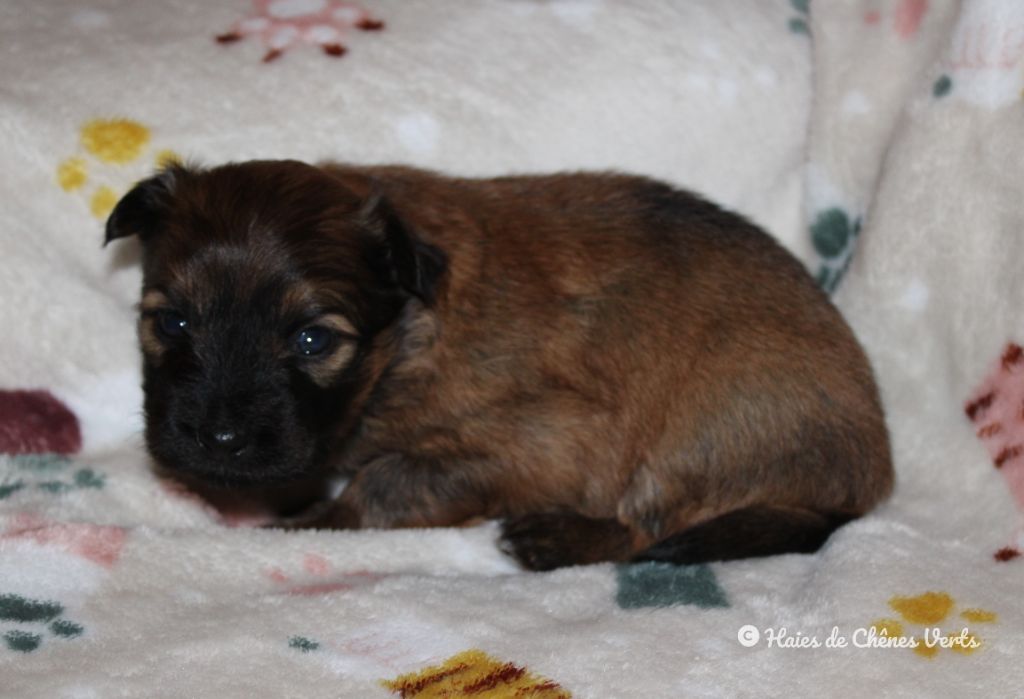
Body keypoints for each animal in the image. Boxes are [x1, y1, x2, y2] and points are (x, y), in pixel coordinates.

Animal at [99, 161, 892, 573]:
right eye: (171, 324)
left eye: (313, 342)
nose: (218, 441)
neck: (405, 337)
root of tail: (869, 471)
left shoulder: (546, 437)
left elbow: (385, 482)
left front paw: (305, 523)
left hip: (697, 431)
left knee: (654, 529)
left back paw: (554, 539)